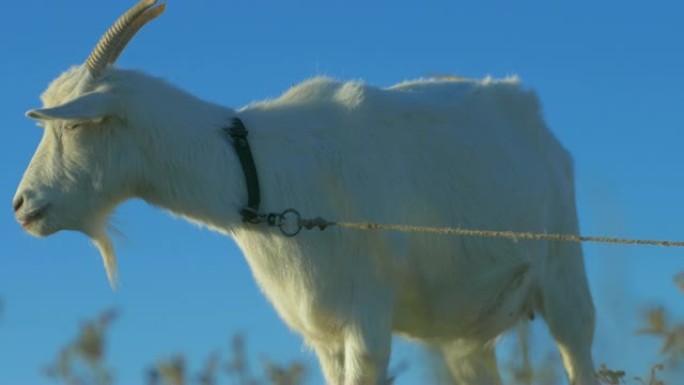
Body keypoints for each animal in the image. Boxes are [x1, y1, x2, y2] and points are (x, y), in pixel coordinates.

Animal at [13, 1, 596, 382]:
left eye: (73, 125)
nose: (21, 206)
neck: (259, 174)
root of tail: (537, 121)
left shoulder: (367, 319)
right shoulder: (323, 334)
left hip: (564, 273)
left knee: (578, 344)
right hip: (464, 333)